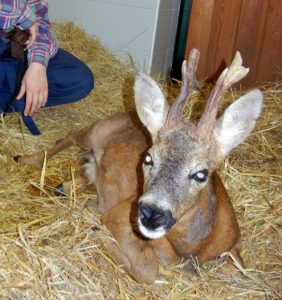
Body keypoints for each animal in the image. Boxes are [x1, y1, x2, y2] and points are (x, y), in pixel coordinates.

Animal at [14, 48, 264, 284]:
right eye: (149, 158)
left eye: (201, 174)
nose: (151, 213)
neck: (191, 247)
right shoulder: (121, 215)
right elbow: (148, 271)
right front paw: (98, 233)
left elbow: (239, 267)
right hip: (94, 131)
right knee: (69, 136)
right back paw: (26, 159)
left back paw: (66, 187)